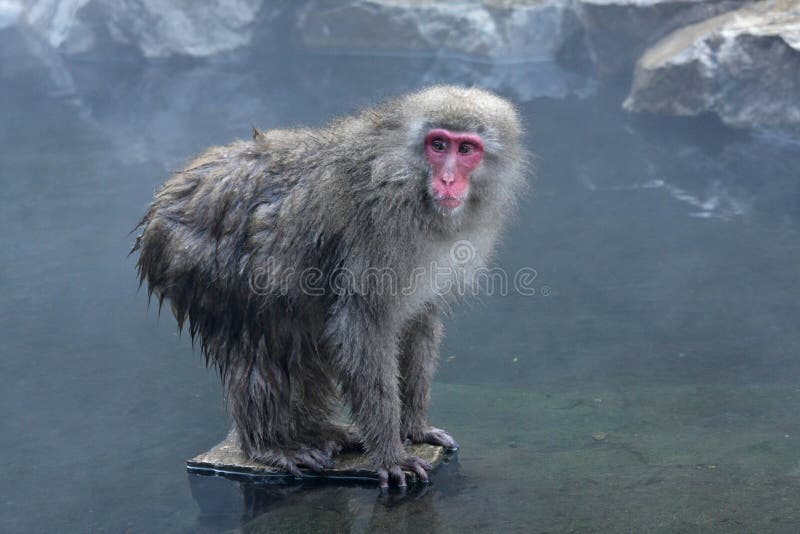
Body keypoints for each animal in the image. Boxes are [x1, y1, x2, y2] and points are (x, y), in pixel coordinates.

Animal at [132, 85, 525, 489]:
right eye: (438, 144)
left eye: (466, 150)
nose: (447, 179)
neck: (410, 185)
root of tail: (171, 191)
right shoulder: (378, 234)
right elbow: (362, 327)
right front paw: (390, 453)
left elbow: (419, 323)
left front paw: (415, 428)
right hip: (196, 260)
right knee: (259, 342)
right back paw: (269, 446)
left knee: (297, 342)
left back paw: (317, 431)